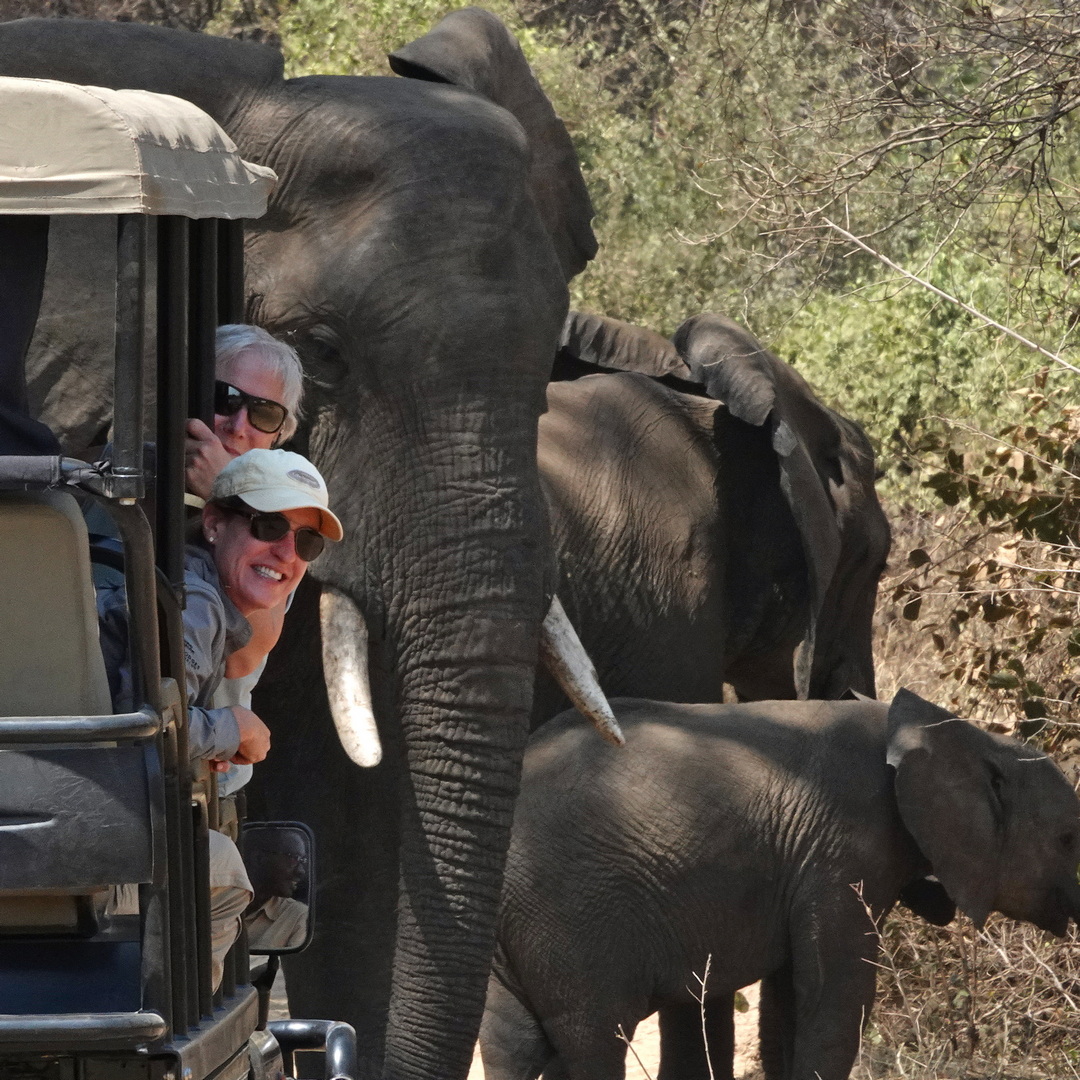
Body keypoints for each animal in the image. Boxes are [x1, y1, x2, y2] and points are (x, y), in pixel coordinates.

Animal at [480, 690, 1080, 1080]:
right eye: (1068, 838)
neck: (954, 731)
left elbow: (796, 998)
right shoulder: (844, 845)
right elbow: (835, 997)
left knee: (512, 1043)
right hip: (568, 917)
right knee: (594, 1040)